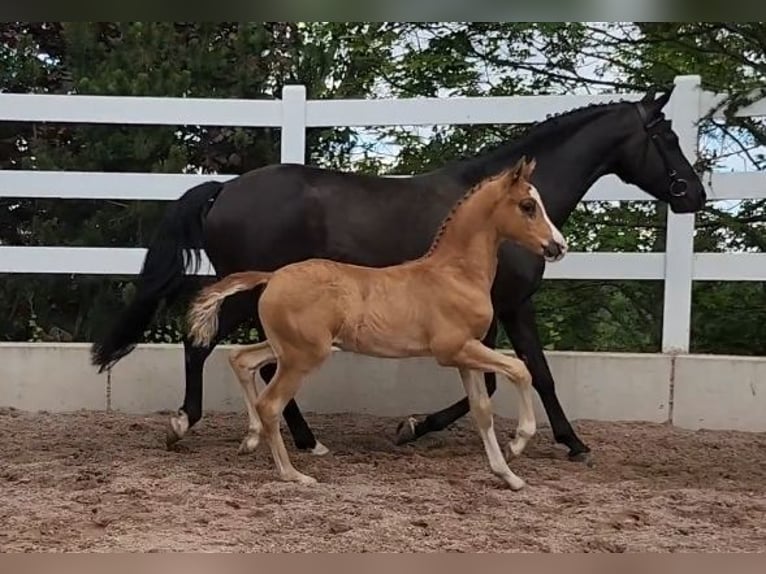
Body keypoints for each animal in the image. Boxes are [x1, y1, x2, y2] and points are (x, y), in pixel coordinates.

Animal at [187, 159, 568, 490]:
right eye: (528, 206)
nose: (558, 246)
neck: (455, 274)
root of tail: (272, 276)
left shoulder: (466, 356)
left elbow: (482, 411)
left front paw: (509, 476)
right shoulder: (455, 349)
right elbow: (521, 369)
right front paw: (518, 444)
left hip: (290, 348)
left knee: (243, 360)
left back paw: (251, 438)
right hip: (303, 356)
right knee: (270, 404)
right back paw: (293, 473)